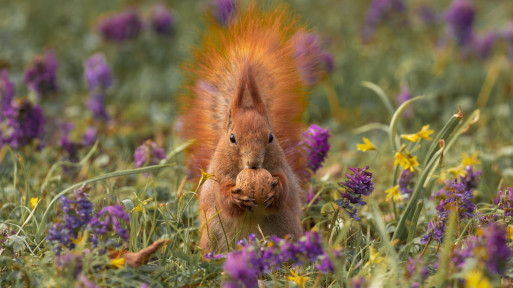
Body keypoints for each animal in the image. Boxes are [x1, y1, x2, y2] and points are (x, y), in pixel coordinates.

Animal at [180, 2, 316, 252]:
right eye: (232, 138)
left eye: (271, 137)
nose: (254, 163)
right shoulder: (217, 174)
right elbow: (220, 195)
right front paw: (234, 197)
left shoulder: (282, 166)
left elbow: (287, 187)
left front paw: (275, 189)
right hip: (212, 236)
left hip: (288, 229)